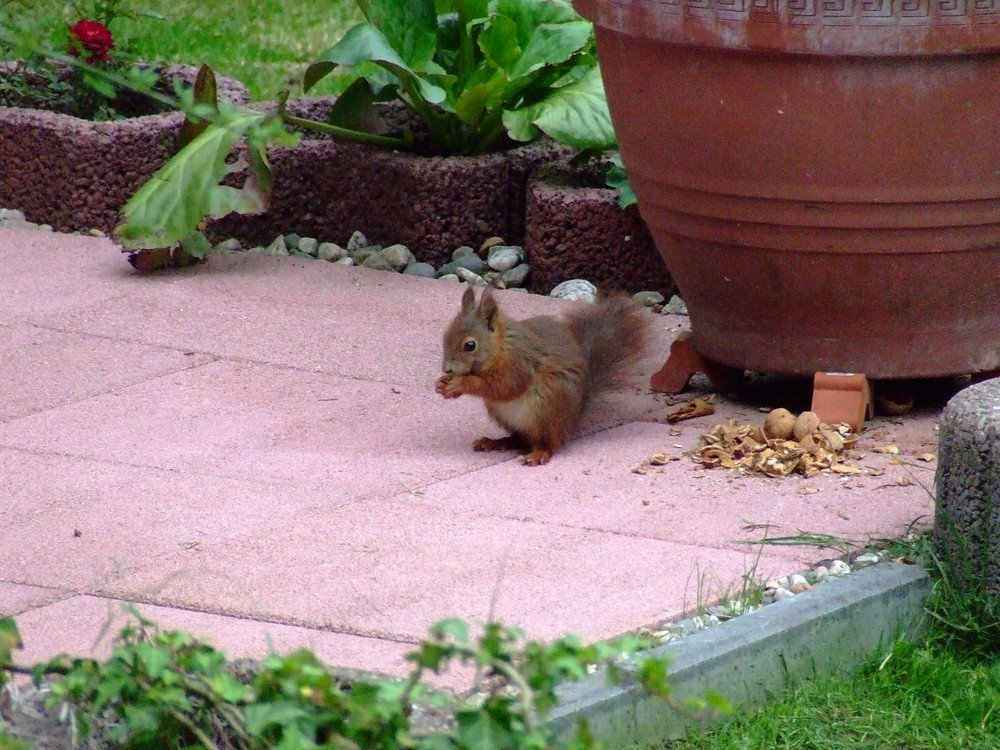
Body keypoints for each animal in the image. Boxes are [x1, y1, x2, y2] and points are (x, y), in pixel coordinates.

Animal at [434, 286, 652, 468]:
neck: (501, 346)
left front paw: (460, 384)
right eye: (445, 336)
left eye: (470, 345)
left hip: (548, 403)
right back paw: (495, 442)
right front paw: (441, 385)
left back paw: (538, 454)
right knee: (520, 439)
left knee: (548, 443)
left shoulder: (518, 364)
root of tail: (573, 418)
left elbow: (503, 387)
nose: (447, 370)